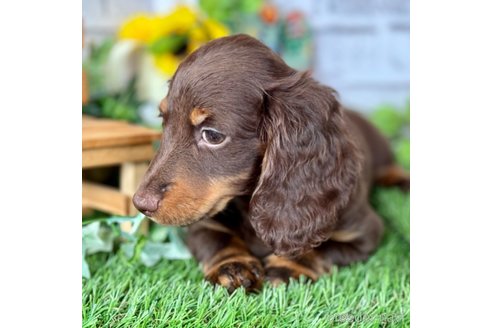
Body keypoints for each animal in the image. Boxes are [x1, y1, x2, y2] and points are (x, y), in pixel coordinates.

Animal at [133, 34, 410, 294]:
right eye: (163, 119)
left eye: (212, 135)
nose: (140, 204)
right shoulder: (204, 222)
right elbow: (217, 240)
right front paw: (231, 266)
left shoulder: (364, 232)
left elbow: (319, 248)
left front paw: (289, 266)